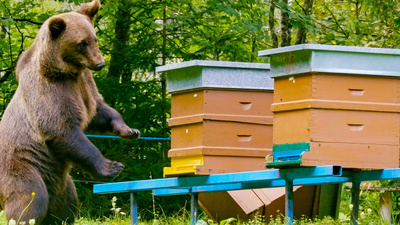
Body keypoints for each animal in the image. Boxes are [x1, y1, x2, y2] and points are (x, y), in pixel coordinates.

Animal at [0, 0, 140, 224]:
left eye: (94, 38)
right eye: (82, 43)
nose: (100, 63)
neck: (66, 71)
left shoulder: (83, 86)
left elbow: (98, 110)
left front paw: (129, 130)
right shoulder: (50, 91)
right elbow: (61, 129)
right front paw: (112, 167)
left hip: (63, 183)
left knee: (68, 206)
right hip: (22, 165)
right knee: (30, 200)